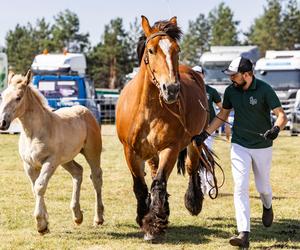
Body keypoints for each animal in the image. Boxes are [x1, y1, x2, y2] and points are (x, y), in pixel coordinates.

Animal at [0, 71, 103, 234]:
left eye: (18, 97)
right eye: (3, 95)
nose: (2, 123)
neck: (34, 133)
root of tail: (85, 110)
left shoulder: (50, 162)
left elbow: (40, 186)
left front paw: (41, 225)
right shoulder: (29, 165)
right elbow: (35, 189)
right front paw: (46, 223)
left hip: (92, 153)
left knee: (96, 177)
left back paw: (98, 219)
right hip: (66, 159)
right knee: (77, 172)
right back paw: (77, 216)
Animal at [116, 16, 217, 240]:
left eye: (176, 49)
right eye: (151, 50)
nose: (171, 89)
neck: (147, 110)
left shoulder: (169, 148)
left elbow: (159, 183)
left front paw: (154, 224)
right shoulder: (130, 151)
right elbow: (140, 186)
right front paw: (143, 217)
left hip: (195, 141)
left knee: (191, 166)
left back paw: (193, 201)